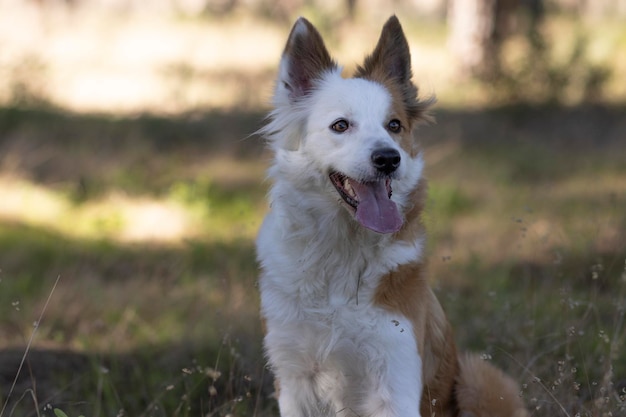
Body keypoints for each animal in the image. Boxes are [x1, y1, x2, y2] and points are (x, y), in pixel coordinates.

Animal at [254, 16, 528, 416]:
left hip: (480, 377)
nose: (388, 159)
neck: (341, 254)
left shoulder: (395, 376)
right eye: (341, 125)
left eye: (394, 125)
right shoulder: (294, 379)